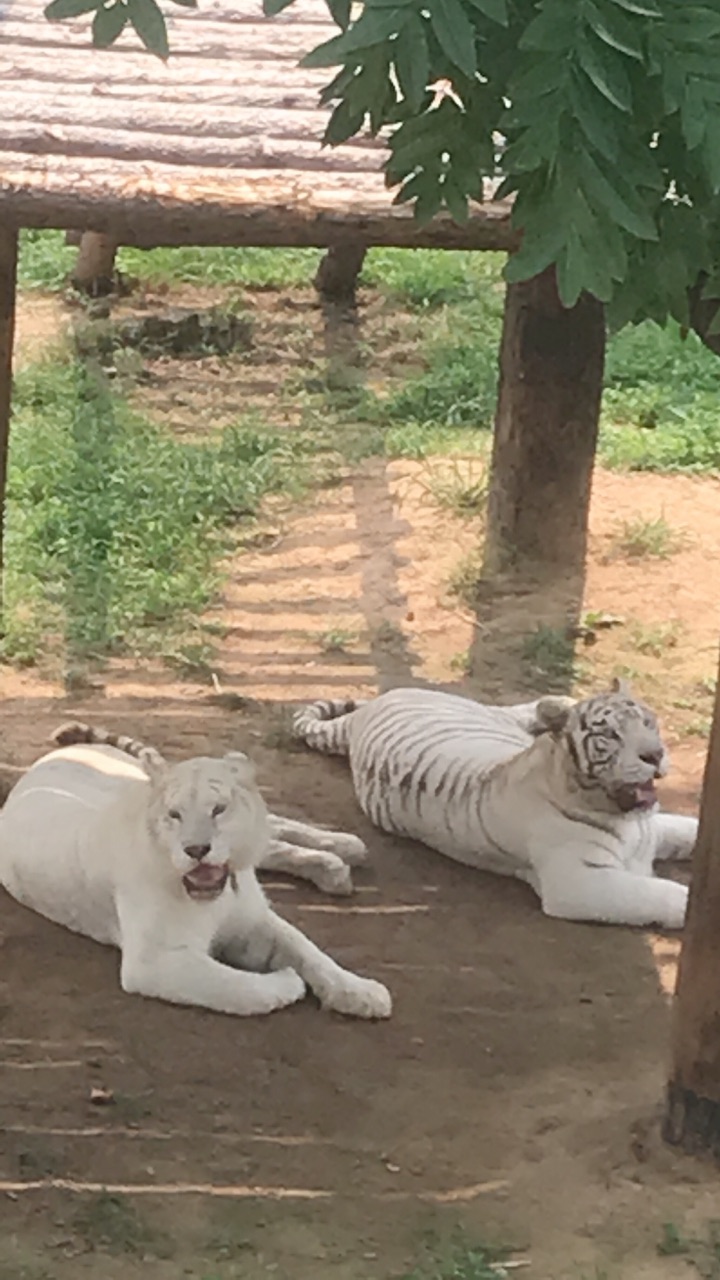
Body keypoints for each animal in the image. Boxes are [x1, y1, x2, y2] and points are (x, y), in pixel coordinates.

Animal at [0, 732, 392, 1018]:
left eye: (218, 809)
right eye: (174, 815)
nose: (197, 849)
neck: (222, 893)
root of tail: (54, 756)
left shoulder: (253, 918)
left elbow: (309, 950)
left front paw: (362, 992)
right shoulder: (155, 960)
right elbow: (237, 988)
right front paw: (289, 983)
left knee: (276, 829)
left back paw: (344, 848)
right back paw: (336, 864)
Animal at [292, 680, 696, 931]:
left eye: (648, 722)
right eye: (609, 735)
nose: (655, 754)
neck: (627, 818)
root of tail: (367, 711)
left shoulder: (654, 829)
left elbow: (691, 832)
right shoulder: (577, 881)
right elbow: (664, 894)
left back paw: (560, 703)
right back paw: (559, 705)